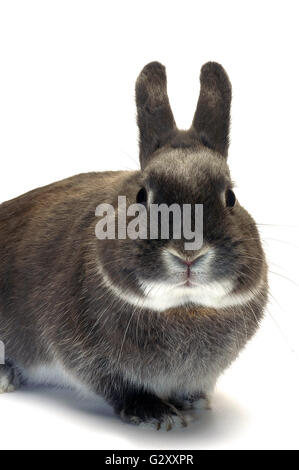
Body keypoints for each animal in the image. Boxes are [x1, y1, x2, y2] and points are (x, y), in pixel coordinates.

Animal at [0, 61, 270, 430]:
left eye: (230, 197)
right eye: (143, 196)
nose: (189, 252)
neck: (183, 308)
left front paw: (194, 402)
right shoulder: (88, 358)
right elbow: (119, 386)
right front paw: (156, 413)